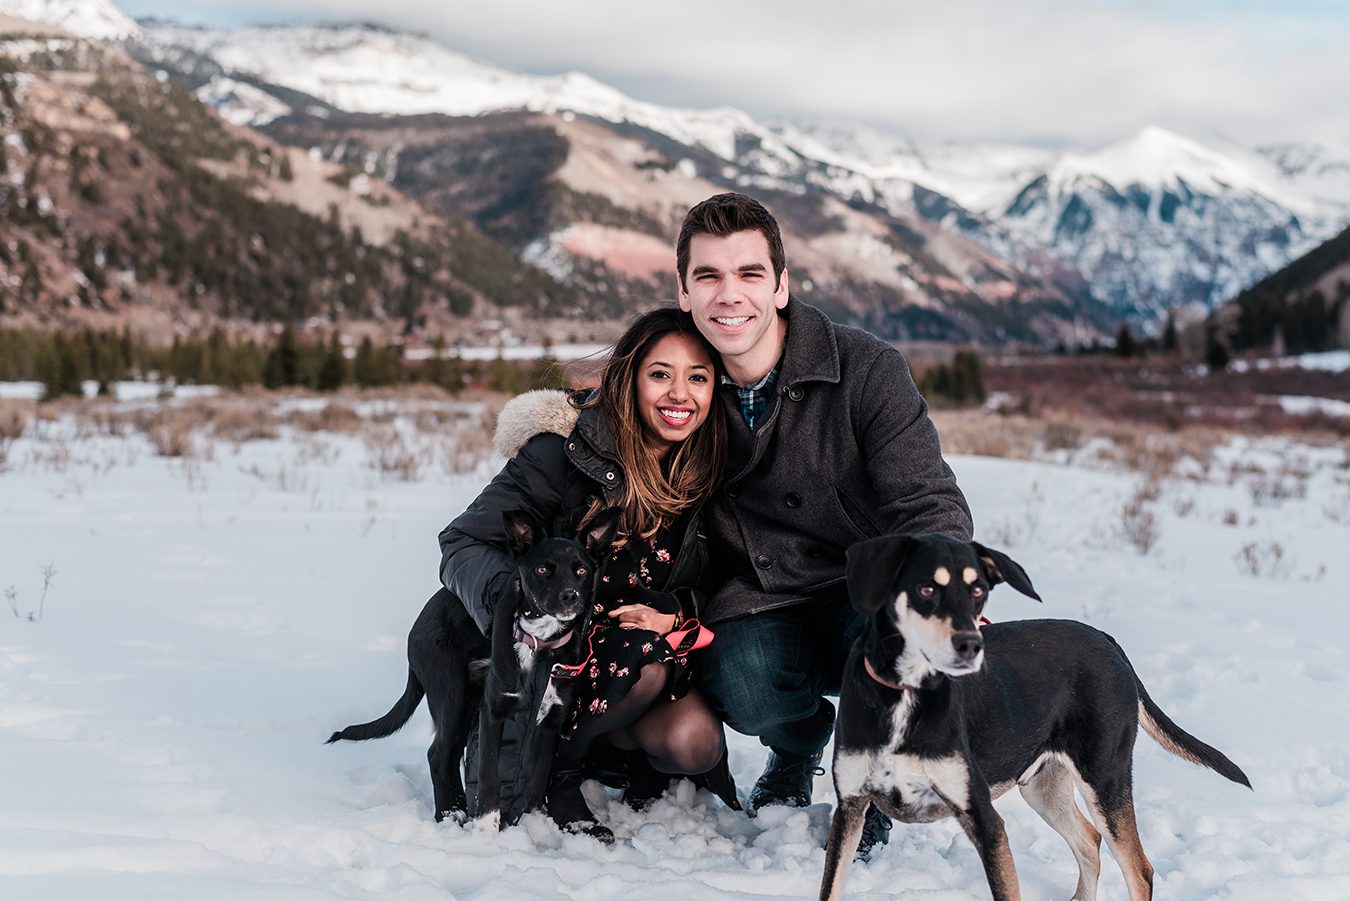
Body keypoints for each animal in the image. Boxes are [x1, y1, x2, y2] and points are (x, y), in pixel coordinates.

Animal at [326, 507, 621, 832]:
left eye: (581, 571)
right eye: (543, 569)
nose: (570, 596)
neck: (538, 644)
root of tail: (415, 629)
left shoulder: (551, 722)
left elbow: (537, 781)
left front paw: (534, 824)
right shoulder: (493, 711)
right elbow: (489, 777)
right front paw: (486, 831)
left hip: (467, 702)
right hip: (452, 696)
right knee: (439, 755)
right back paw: (451, 813)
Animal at [815, 534, 1247, 901]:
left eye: (978, 591)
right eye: (926, 589)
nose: (971, 645)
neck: (906, 695)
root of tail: (1109, 641)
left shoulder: (985, 820)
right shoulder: (850, 808)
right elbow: (830, 887)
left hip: (1104, 778)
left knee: (1139, 870)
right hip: (1043, 785)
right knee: (1090, 841)